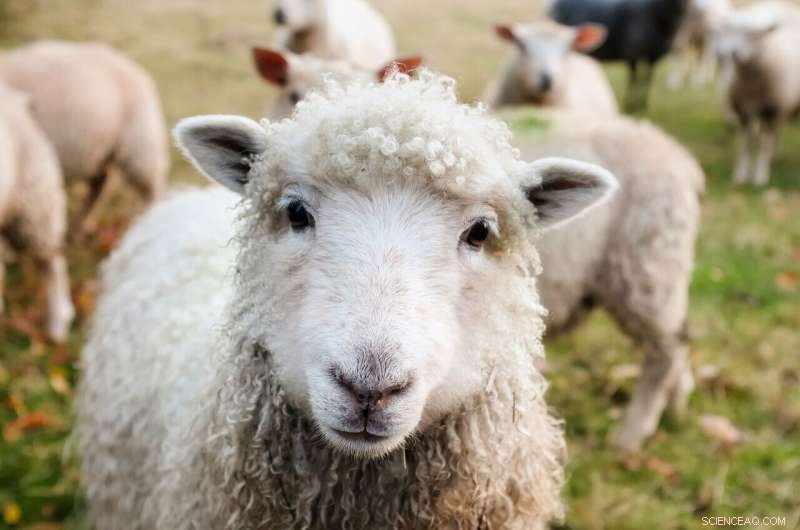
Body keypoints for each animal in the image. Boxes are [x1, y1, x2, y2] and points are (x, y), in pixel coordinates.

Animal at [0, 40, 169, 231]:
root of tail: (134, 68)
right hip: (99, 150)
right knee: (100, 183)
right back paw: (82, 224)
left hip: (140, 143)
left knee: (153, 188)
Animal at [550, 0, 689, 112]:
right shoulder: (633, 54)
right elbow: (634, 81)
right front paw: (631, 107)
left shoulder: (652, 58)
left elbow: (646, 82)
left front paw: (642, 106)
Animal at [712, 1, 800, 186]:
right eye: (731, 31)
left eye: (754, 35)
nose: (733, 53)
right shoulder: (743, 112)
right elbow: (744, 145)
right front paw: (741, 175)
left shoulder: (771, 111)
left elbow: (763, 145)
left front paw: (760, 176)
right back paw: (774, 156)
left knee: (772, 135)